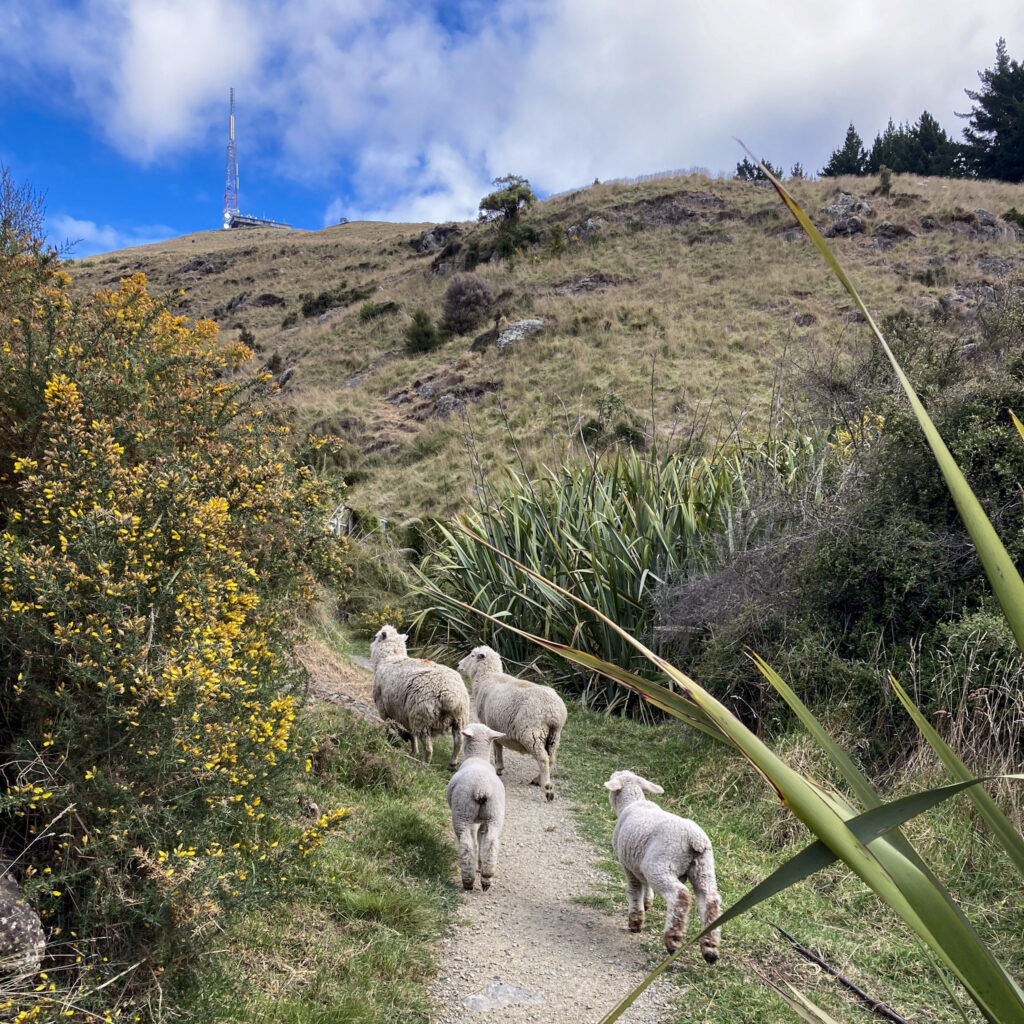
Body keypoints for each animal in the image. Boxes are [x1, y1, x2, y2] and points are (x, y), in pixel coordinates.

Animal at [370, 622, 468, 770]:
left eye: (376, 637)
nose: (370, 646)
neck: (389, 658)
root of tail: (450, 695)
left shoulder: (384, 708)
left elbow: (388, 726)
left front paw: (388, 739)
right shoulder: (405, 713)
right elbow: (411, 733)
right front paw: (413, 750)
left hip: (422, 717)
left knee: (429, 748)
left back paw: (423, 765)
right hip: (459, 719)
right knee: (459, 742)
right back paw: (452, 763)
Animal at [446, 720, 505, 888]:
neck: (478, 757)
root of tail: (481, 788)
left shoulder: (471, 820)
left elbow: (475, 839)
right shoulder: (483, 820)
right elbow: (481, 839)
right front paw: (480, 865)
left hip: (462, 813)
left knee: (466, 844)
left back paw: (468, 880)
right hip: (494, 814)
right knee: (491, 843)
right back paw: (486, 876)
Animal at [458, 647, 569, 798]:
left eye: (472, 655)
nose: (459, 664)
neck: (487, 677)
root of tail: (554, 712)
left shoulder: (490, 723)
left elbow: (497, 746)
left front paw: (498, 768)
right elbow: (498, 745)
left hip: (532, 734)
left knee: (543, 759)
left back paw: (547, 788)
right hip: (554, 737)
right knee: (551, 759)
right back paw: (538, 779)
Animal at [602, 770, 724, 958]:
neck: (633, 802)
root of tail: (694, 839)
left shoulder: (628, 863)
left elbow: (634, 889)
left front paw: (636, 920)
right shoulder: (639, 860)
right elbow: (644, 884)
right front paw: (647, 902)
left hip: (661, 864)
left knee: (681, 896)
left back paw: (673, 940)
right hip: (703, 867)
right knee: (710, 899)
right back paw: (710, 948)